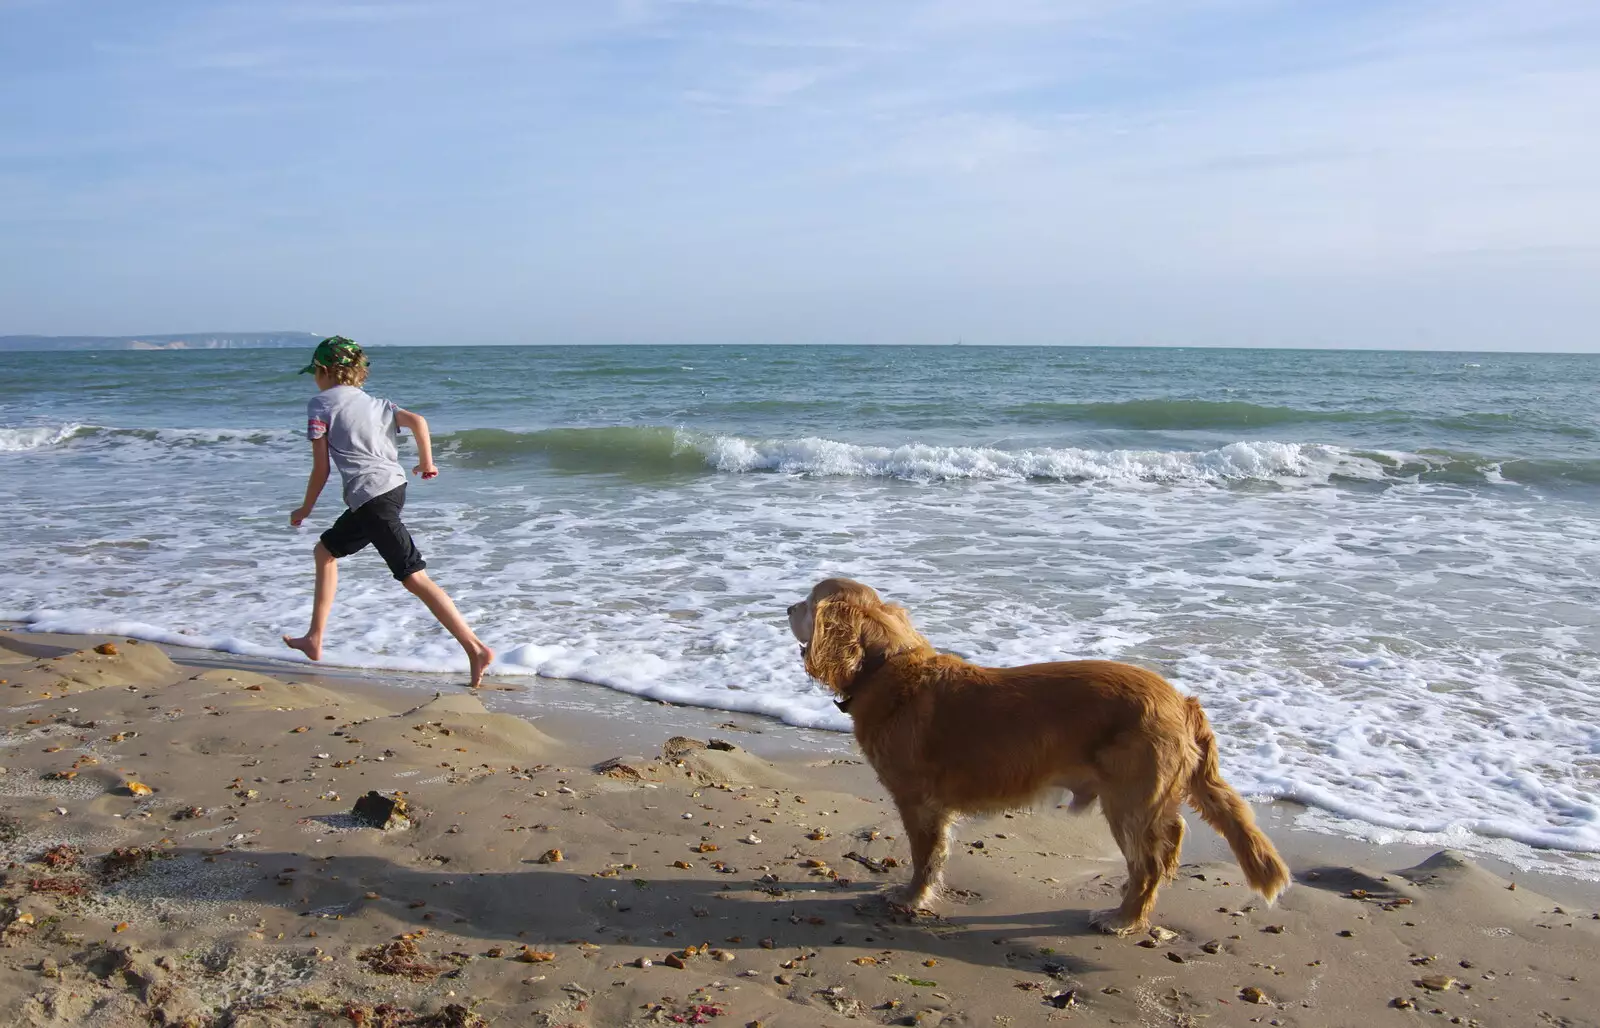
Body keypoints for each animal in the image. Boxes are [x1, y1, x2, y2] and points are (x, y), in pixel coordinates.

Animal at [793, 573, 1292, 935]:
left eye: (807, 602)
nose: (785, 607)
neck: (886, 668)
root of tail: (1181, 700)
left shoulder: (919, 804)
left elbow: (924, 859)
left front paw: (911, 896)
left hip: (1127, 802)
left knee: (1148, 864)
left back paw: (1124, 918)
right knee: (1171, 839)